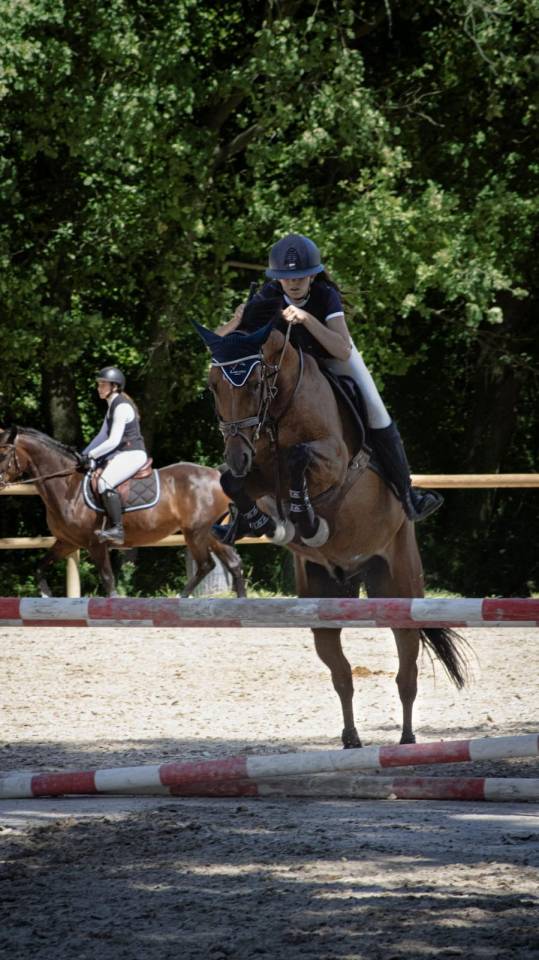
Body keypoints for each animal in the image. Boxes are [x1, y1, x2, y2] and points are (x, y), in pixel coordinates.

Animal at [0, 425, 246, 598]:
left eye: (2, 454)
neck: (68, 486)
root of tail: (216, 473)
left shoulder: (95, 544)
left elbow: (107, 579)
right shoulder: (66, 542)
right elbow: (39, 568)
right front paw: (45, 595)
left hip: (196, 533)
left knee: (208, 564)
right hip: (209, 533)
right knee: (228, 564)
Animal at [199, 317, 469, 747]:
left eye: (255, 383)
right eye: (212, 386)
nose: (238, 454)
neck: (280, 409)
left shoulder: (334, 463)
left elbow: (299, 458)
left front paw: (307, 521)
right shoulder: (259, 475)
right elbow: (231, 482)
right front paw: (260, 521)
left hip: (398, 586)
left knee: (406, 669)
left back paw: (407, 740)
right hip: (323, 600)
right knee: (342, 674)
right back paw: (351, 738)